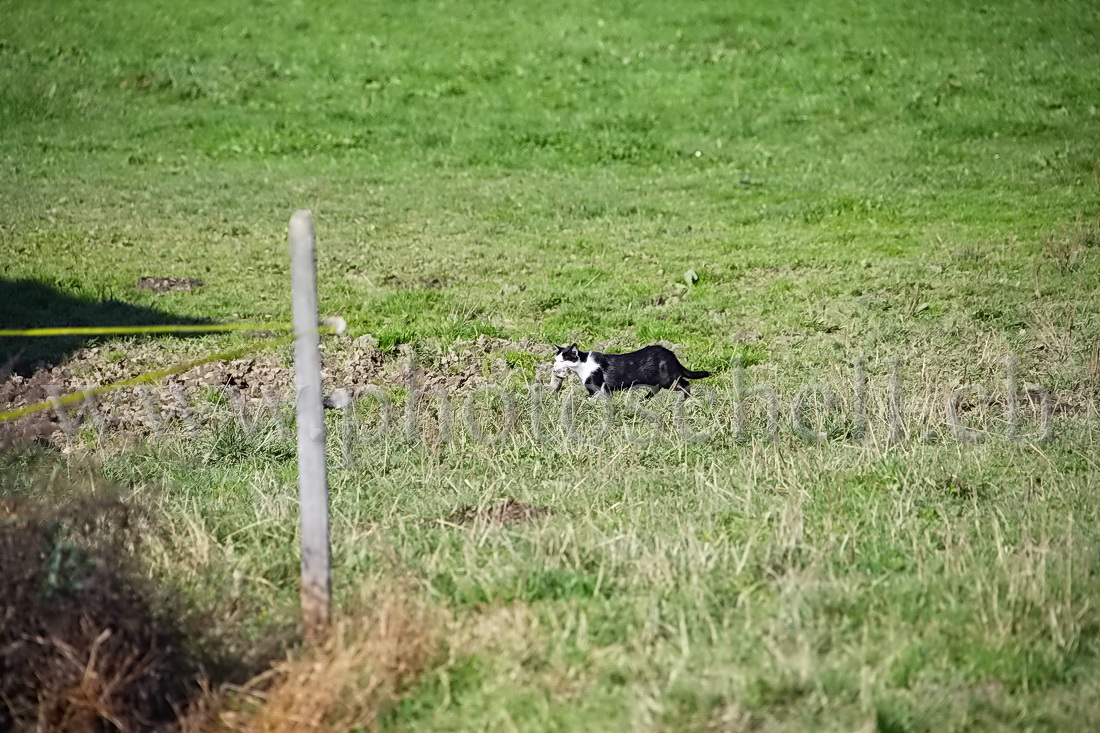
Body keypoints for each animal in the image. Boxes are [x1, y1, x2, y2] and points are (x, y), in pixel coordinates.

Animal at [550, 343, 712, 400]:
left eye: (563, 361)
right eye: (556, 359)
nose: (554, 366)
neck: (583, 367)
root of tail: (672, 355)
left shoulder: (598, 387)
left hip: (669, 380)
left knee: (686, 383)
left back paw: (686, 399)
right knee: (656, 389)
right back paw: (644, 400)